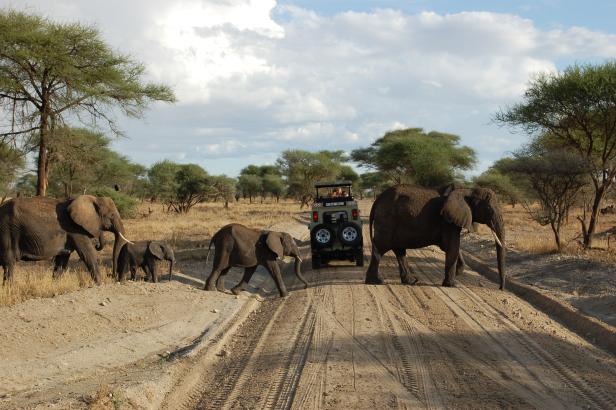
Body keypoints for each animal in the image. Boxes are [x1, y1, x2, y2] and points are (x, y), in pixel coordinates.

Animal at [0, 195, 132, 286]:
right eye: (112, 215)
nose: (113, 276)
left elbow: (62, 261)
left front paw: (55, 285)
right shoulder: (75, 229)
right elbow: (88, 254)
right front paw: (100, 284)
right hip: (7, 231)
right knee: (9, 264)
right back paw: (9, 289)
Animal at [366, 184, 506, 290]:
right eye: (490, 210)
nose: (500, 288)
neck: (467, 190)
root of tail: (377, 200)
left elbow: (453, 247)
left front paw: (457, 272)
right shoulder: (448, 221)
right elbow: (452, 246)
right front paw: (452, 284)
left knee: (399, 251)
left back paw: (411, 281)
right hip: (387, 221)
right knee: (380, 247)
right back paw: (376, 281)